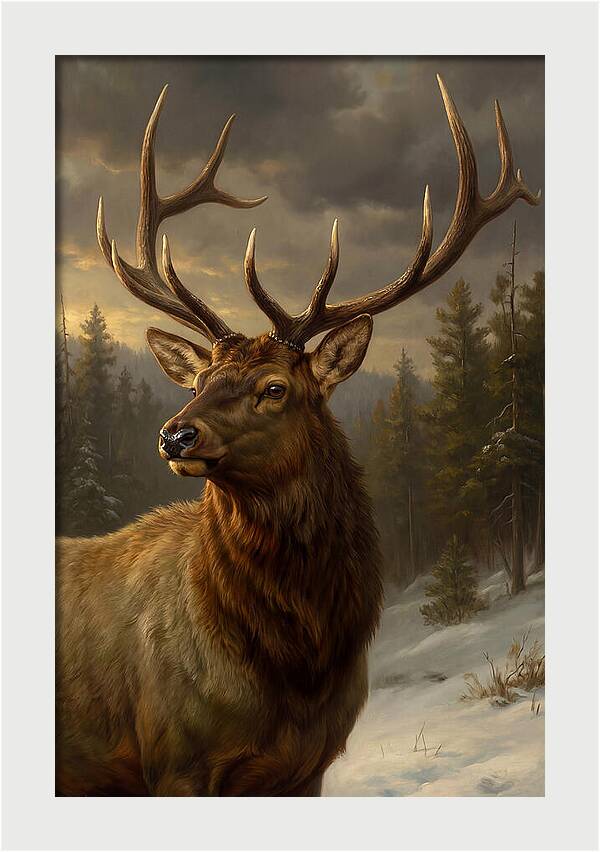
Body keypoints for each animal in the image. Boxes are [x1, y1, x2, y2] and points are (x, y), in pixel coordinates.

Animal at [56, 76, 540, 796]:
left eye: (275, 388)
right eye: (198, 379)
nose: (175, 435)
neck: (296, 669)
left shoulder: (307, 765)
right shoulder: (172, 760)